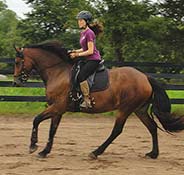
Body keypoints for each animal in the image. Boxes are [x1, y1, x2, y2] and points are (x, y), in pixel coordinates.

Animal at [13, 40, 184, 159]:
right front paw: (44, 151)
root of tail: (145, 77)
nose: (16, 82)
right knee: (152, 127)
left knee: (117, 131)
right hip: (139, 109)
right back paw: (153, 154)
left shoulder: (57, 106)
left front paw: (33, 146)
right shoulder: (58, 109)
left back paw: (95, 152)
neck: (58, 71)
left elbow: (36, 119)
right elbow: (52, 130)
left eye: (17, 62)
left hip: (125, 109)